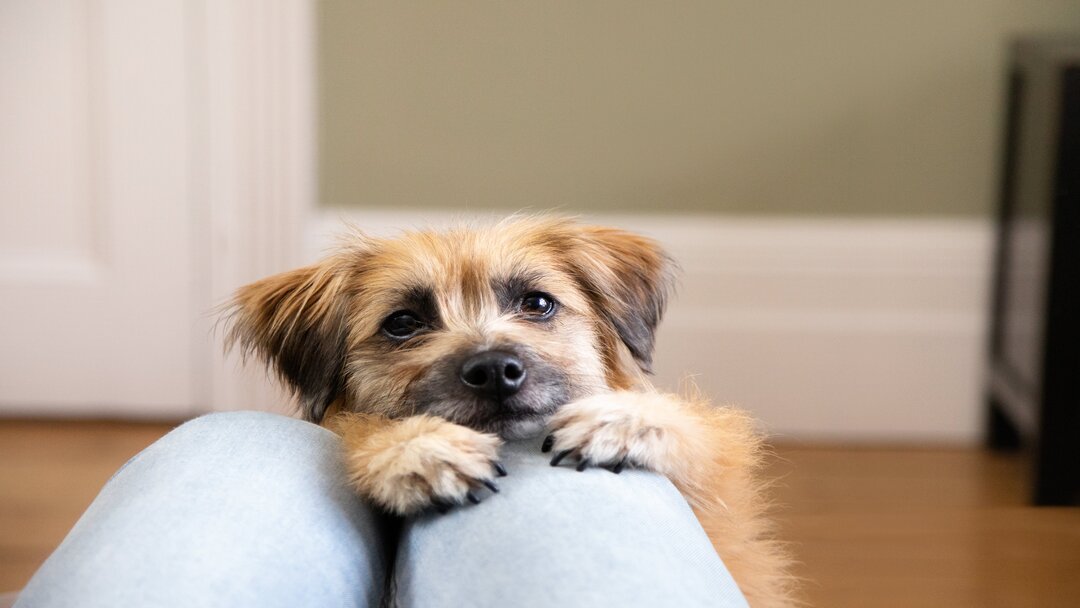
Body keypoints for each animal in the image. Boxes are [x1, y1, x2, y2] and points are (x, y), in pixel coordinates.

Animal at [223, 215, 794, 604]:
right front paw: (417, 448)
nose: (495, 369)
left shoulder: (724, 496)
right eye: (403, 323)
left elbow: (699, 432)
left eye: (538, 303)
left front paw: (621, 420)